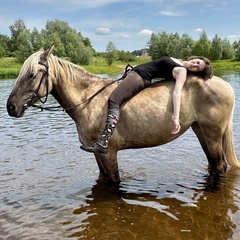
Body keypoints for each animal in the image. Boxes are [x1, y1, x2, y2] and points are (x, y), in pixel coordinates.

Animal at [5, 45, 240, 184]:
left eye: (31, 74)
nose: (11, 107)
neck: (87, 99)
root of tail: (225, 85)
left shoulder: (109, 153)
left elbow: (114, 183)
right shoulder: (97, 155)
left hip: (212, 133)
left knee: (220, 166)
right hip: (200, 130)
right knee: (213, 165)